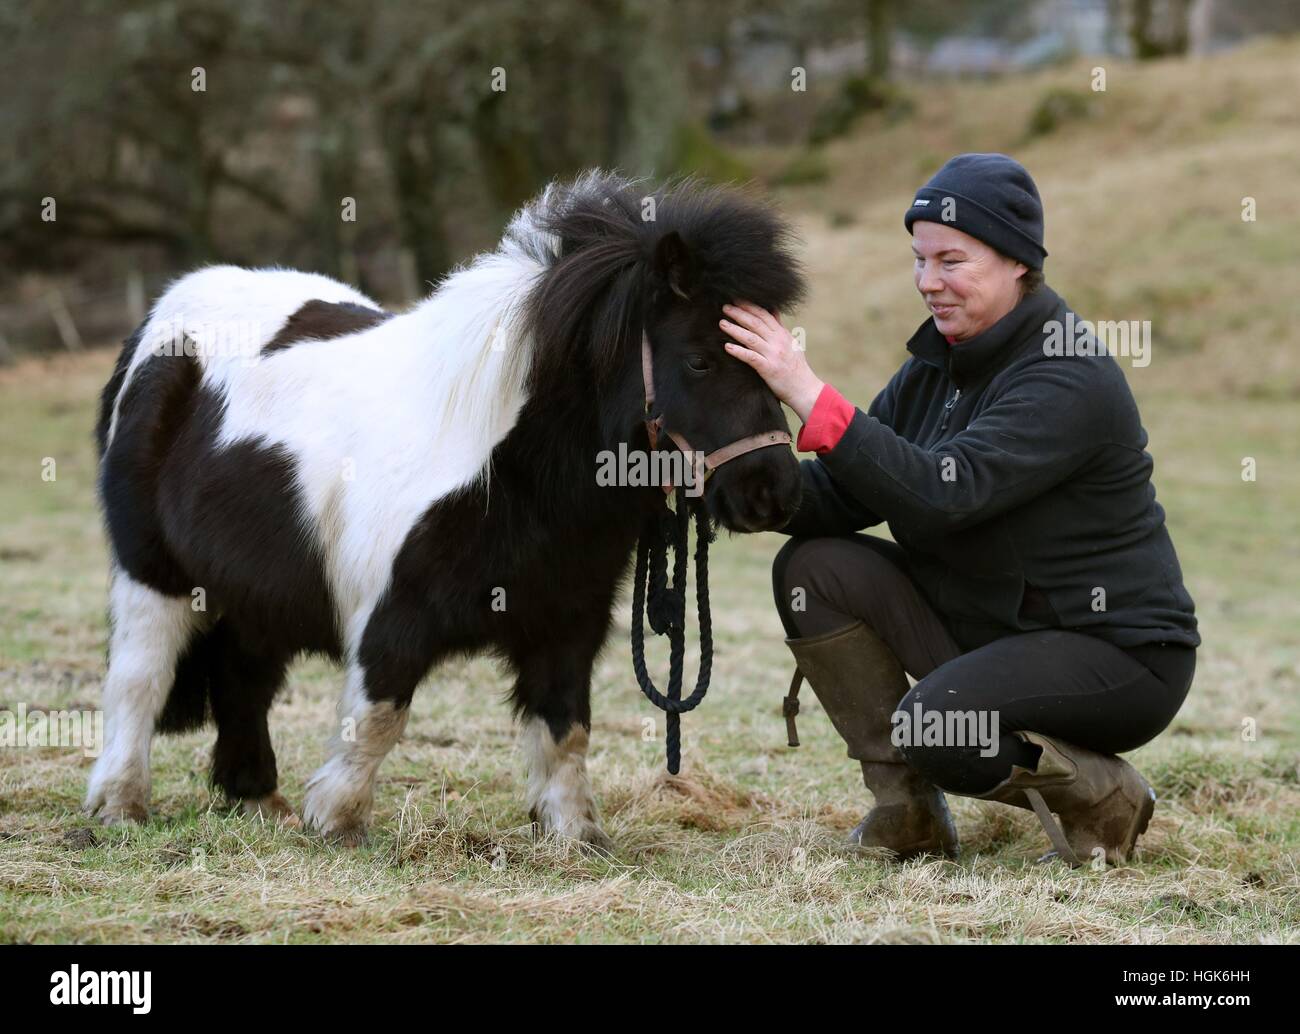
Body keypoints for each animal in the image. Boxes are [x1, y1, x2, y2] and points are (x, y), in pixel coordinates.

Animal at [86, 171, 800, 848]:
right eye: (700, 360)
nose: (773, 491)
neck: (504, 466)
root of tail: (163, 316)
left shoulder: (568, 621)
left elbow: (566, 727)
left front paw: (574, 833)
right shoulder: (390, 615)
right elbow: (379, 715)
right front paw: (337, 821)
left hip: (259, 591)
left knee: (243, 677)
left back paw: (257, 800)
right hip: (155, 576)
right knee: (138, 680)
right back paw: (119, 806)